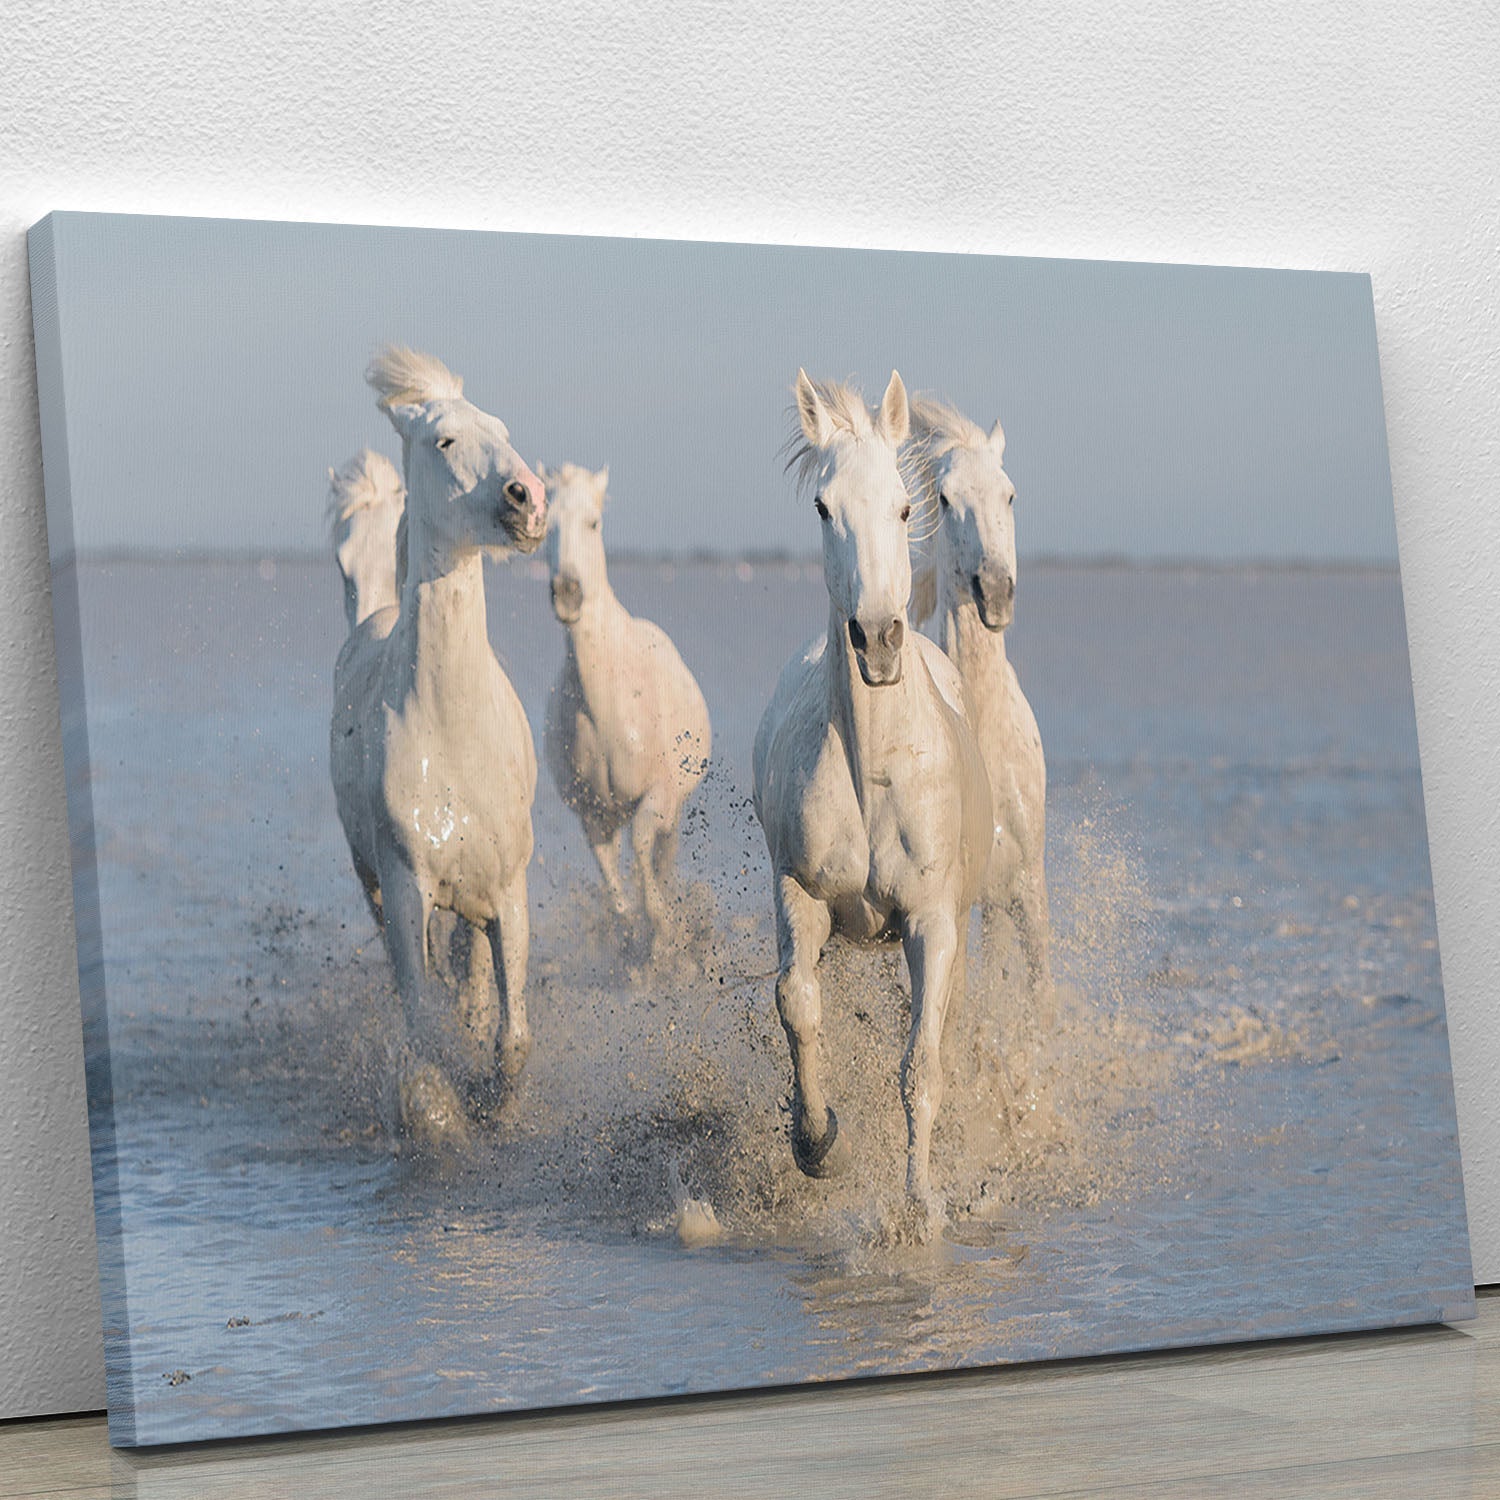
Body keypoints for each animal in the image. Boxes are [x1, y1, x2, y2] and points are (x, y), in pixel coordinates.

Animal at [540, 463, 711, 956]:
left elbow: (642, 850)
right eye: (545, 526)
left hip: (674, 806)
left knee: (661, 854)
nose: (568, 593)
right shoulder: (593, 812)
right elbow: (614, 889)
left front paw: (664, 934)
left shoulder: (659, 794)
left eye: (593, 523)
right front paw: (632, 938)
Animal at [751, 369, 994, 1237]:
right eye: (825, 508)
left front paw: (920, 1208)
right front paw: (818, 1143)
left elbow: (920, 1063)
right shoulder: (799, 893)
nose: (879, 639)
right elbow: (796, 1002)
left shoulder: (931, 922)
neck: (874, 776)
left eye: (904, 507)